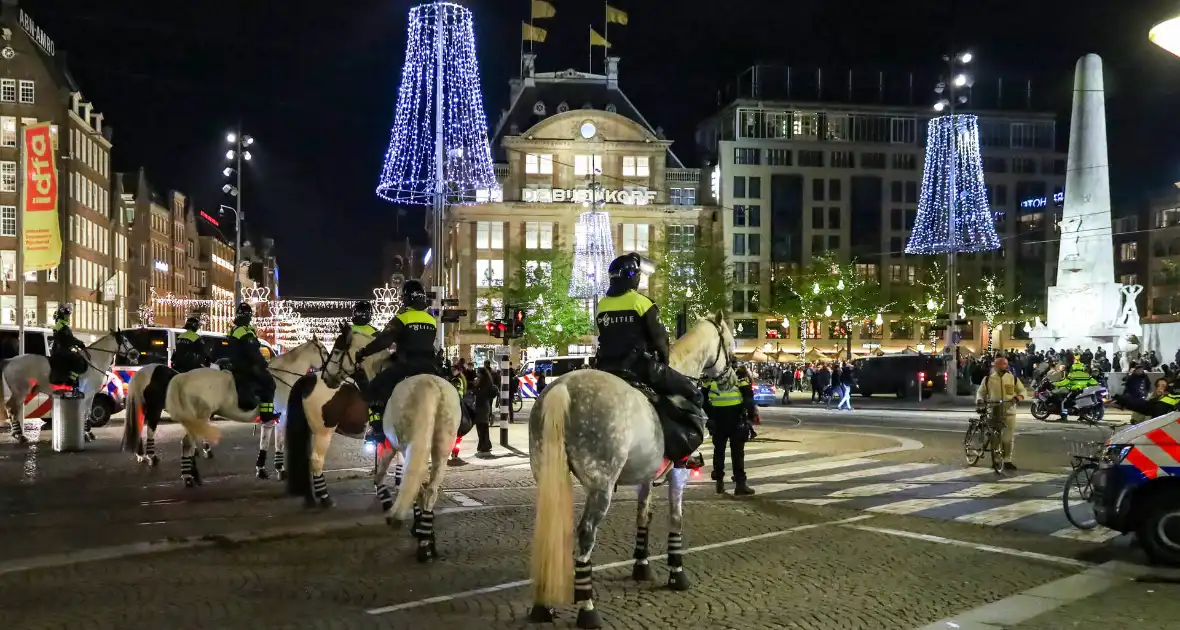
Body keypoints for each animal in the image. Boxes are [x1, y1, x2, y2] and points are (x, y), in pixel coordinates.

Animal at [1, 332, 138, 445]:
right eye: (125, 340)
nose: (136, 353)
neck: (94, 362)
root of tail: (10, 361)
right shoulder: (89, 394)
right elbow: (86, 412)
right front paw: (86, 434)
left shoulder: (89, 395)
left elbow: (87, 413)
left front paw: (88, 433)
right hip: (20, 392)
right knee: (12, 409)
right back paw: (20, 435)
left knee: (13, 409)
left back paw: (17, 434)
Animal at [161, 339, 328, 488]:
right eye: (325, 351)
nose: (329, 374)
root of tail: (182, 377)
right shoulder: (281, 418)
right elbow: (279, 443)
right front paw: (280, 469)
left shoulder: (269, 421)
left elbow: (264, 442)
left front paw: (261, 469)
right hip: (199, 417)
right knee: (188, 444)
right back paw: (189, 477)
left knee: (189, 444)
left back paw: (193, 475)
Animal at [531, 316, 731, 630]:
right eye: (730, 341)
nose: (733, 375)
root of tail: (563, 388)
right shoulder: (679, 472)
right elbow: (676, 518)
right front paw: (677, 573)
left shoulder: (645, 475)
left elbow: (643, 515)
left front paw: (642, 566)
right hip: (600, 486)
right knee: (586, 534)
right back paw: (587, 608)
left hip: (547, 477)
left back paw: (543, 605)